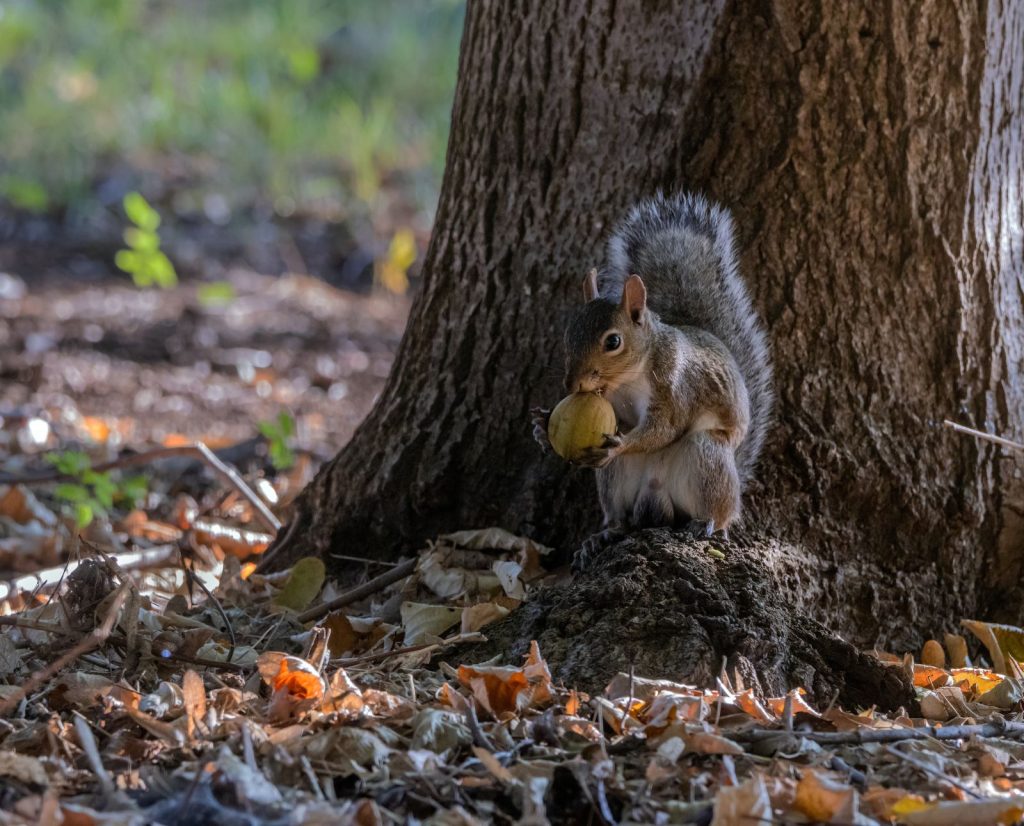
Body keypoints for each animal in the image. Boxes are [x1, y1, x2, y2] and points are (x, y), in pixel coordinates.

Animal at [533, 192, 773, 558]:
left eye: (613, 342)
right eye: (568, 333)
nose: (571, 384)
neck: (628, 378)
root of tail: (657, 497)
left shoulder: (675, 386)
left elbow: (664, 428)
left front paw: (621, 443)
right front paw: (543, 426)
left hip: (706, 457)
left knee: (721, 507)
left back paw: (709, 522)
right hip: (616, 480)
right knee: (620, 515)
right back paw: (606, 534)